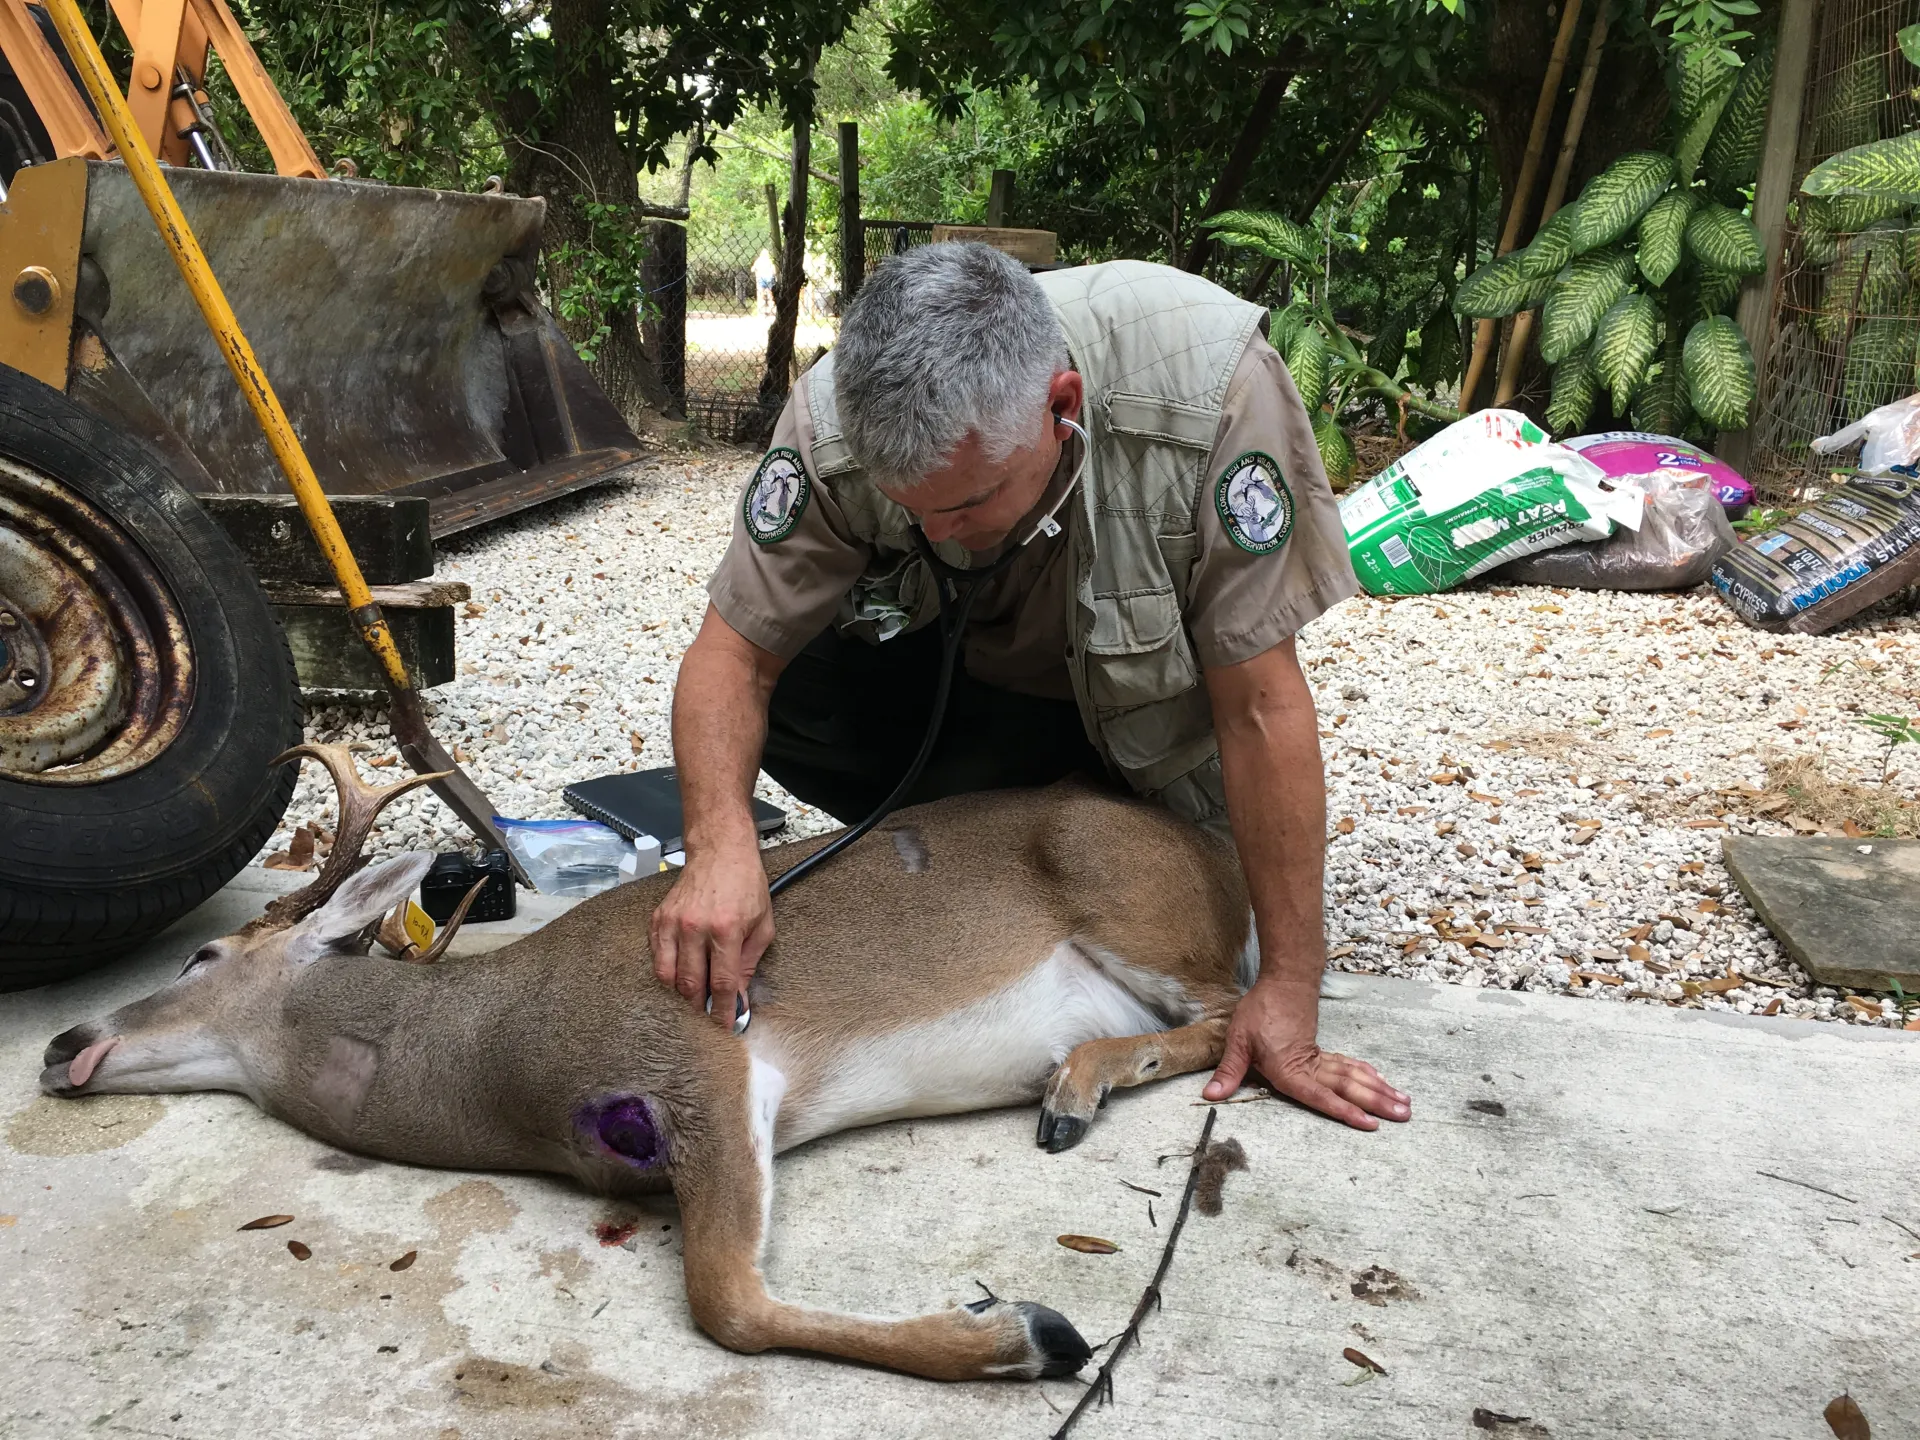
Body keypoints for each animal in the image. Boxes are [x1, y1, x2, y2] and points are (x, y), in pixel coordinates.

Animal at [39, 744, 1259, 1383]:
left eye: (202, 953)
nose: (64, 1042)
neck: (490, 1061)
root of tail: (1213, 854)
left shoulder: (706, 1059)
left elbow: (728, 1303)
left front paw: (1027, 1332)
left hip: (1132, 907)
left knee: (1238, 1019)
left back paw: (1073, 1087)